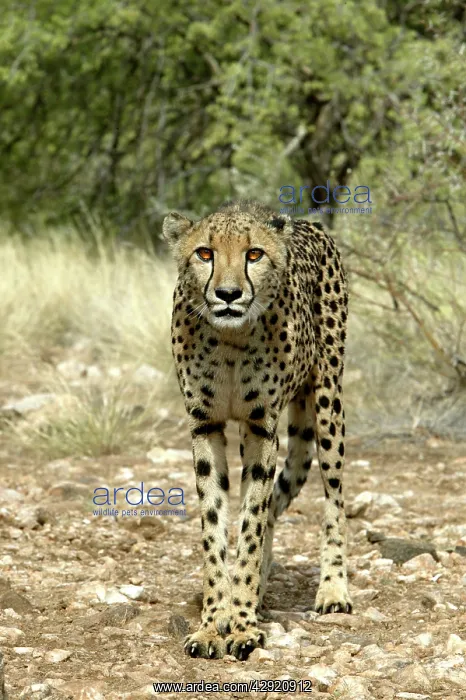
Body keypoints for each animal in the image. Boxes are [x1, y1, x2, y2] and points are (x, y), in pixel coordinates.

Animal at [162, 200, 352, 661]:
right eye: (205, 253)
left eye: (254, 254)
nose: (228, 294)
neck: (229, 339)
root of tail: (306, 223)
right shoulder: (205, 425)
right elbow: (217, 526)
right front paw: (214, 622)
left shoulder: (260, 428)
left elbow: (249, 526)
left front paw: (243, 625)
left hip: (328, 403)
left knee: (333, 498)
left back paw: (332, 589)